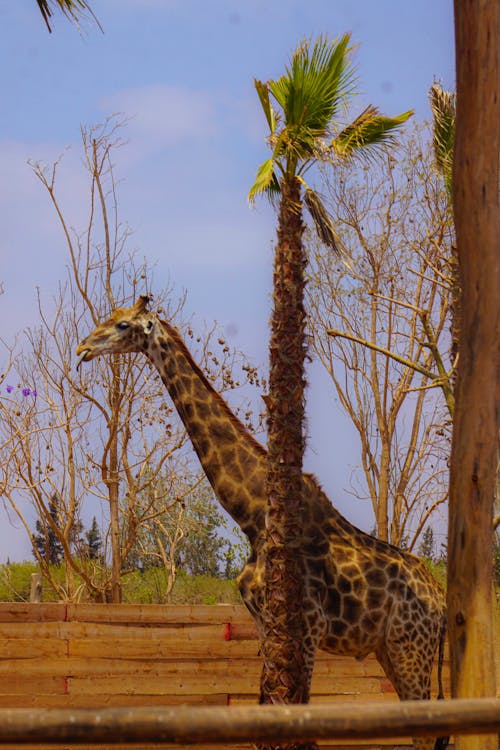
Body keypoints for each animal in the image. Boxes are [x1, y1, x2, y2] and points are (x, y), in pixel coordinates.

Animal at [78, 298, 450, 750]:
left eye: (123, 325)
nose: (82, 348)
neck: (253, 516)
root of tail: (441, 601)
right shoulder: (263, 623)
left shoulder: (306, 627)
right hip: (390, 650)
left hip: (410, 647)